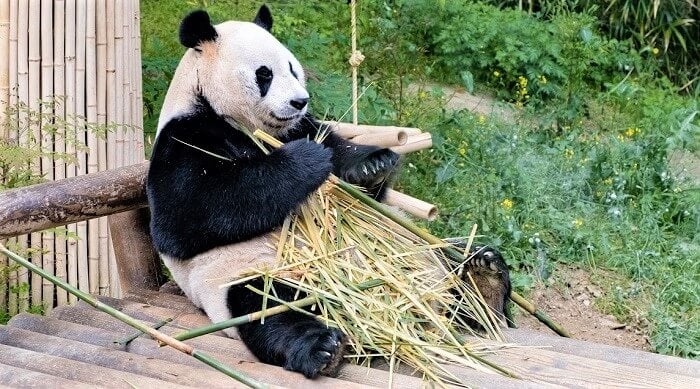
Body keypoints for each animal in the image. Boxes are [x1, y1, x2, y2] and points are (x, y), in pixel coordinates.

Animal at [148, 4, 512, 378]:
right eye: (264, 74)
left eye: (293, 68)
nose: (299, 101)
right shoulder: (186, 137)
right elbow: (187, 216)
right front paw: (306, 160)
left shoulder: (303, 126)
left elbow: (342, 154)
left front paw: (373, 165)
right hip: (252, 273)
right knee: (270, 307)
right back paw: (323, 348)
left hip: (418, 250)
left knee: (450, 261)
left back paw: (484, 281)